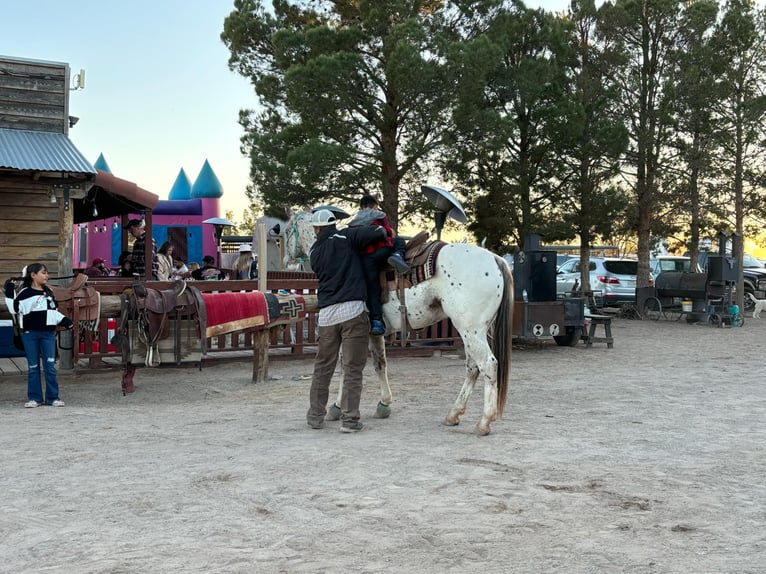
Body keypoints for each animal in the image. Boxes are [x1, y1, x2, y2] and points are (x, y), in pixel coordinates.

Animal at [284, 211, 514, 435]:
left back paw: (484, 422)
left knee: (488, 365)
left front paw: (337, 407)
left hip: (470, 330)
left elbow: (345, 366)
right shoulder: (374, 331)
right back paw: (453, 414)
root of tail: (494, 258)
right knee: (472, 368)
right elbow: (380, 364)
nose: (287, 260)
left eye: (286, 231)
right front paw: (384, 404)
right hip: (471, 331)